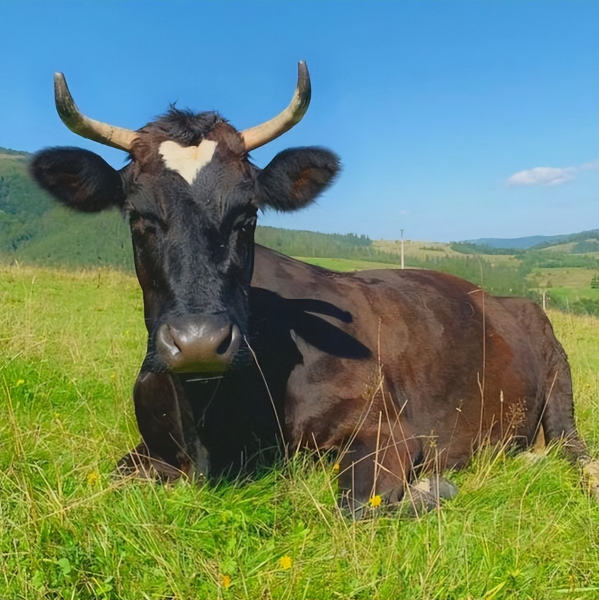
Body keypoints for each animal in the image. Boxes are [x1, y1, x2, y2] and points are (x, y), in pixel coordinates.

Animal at [30, 64, 596, 516]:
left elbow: (359, 506)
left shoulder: (387, 429)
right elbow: (108, 478)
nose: (198, 342)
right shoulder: (151, 450)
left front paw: (431, 488)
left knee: (573, 448)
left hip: (557, 374)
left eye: (248, 214)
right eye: (138, 216)